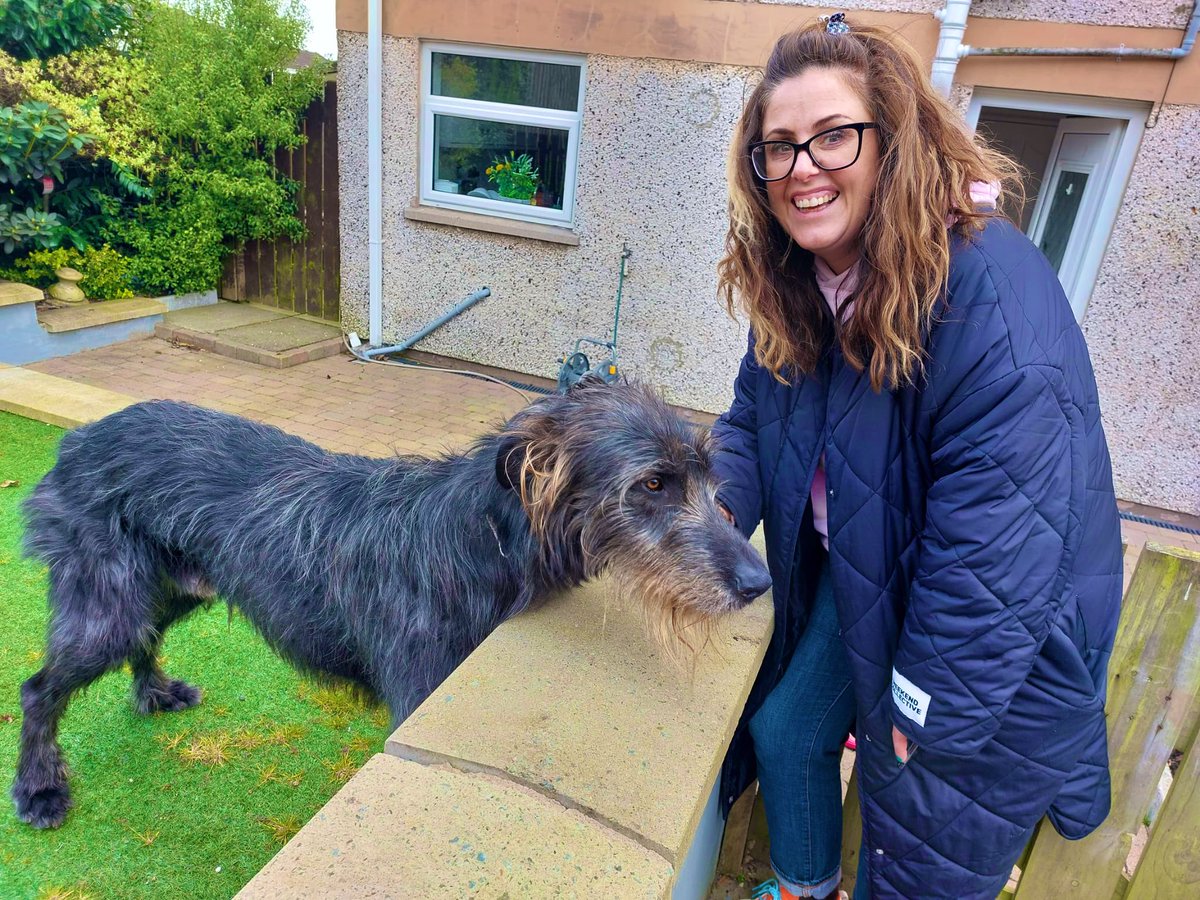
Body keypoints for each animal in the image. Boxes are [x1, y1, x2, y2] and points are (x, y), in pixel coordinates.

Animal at [11, 376, 768, 830]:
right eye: (652, 484)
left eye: (708, 474)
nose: (759, 583)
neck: (482, 539)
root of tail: (77, 439)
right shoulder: (420, 689)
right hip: (107, 602)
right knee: (38, 689)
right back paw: (39, 789)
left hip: (172, 588)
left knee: (141, 640)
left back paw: (154, 691)